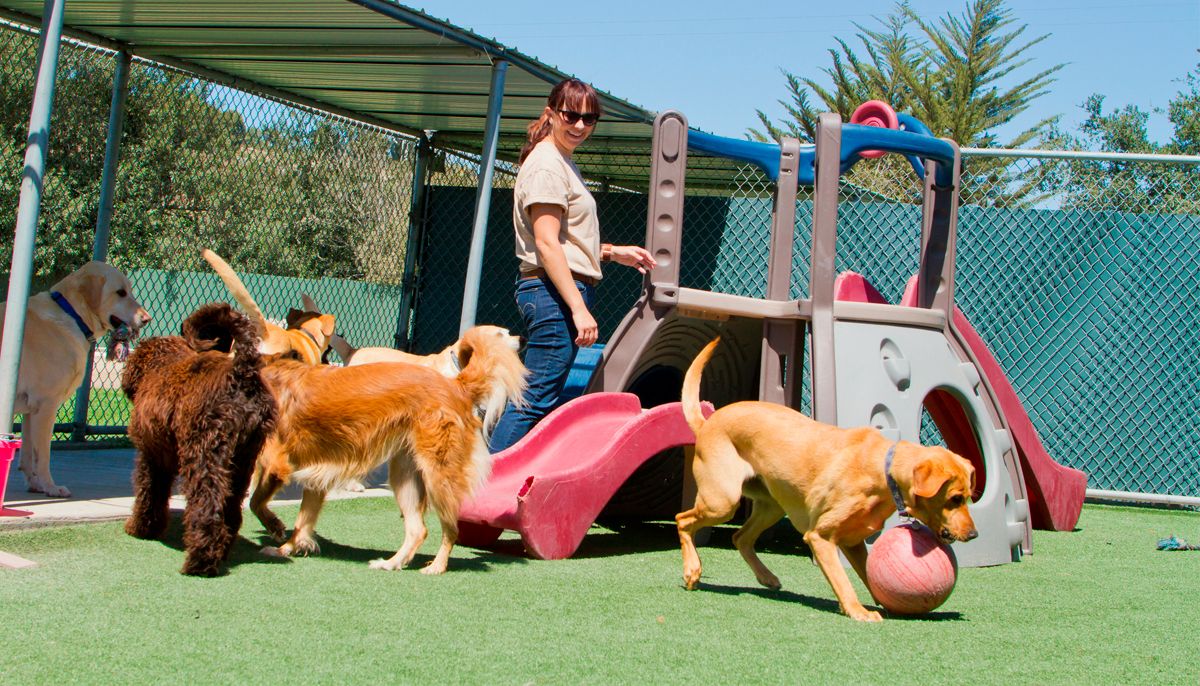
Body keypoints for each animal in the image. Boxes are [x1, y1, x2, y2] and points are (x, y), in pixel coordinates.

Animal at [123, 302, 278, 575]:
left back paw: (199, 561)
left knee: (208, 506)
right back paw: (222, 551)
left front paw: (141, 528)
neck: (162, 364)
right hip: (243, 460)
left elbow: (148, 493)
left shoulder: (151, 456)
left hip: (204, 453)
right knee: (231, 508)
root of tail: (242, 373)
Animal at [681, 338, 979, 623]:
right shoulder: (821, 537)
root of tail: (707, 423)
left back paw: (766, 577)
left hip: (771, 505)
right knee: (684, 520)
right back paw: (692, 570)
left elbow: (868, 575)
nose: (973, 535)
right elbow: (842, 579)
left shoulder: (853, 542)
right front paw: (858, 611)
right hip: (722, 501)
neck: (882, 470)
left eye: (967, 498)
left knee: (740, 537)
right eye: (955, 498)